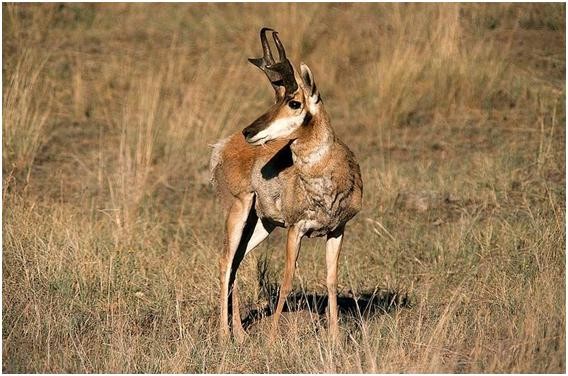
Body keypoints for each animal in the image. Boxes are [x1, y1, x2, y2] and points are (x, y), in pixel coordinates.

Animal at [211, 27, 362, 342]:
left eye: (294, 102)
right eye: (276, 100)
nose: (249, 131)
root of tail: (223, 146)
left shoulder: (337, 230)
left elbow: (331, 280)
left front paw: (335, 338)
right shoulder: (295, 229)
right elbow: (287, 281)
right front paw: (271, 341)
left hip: (261, 225)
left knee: (236, 263)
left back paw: (240, 334)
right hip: (238, 212)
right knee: (225, 262)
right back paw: (224, 335)